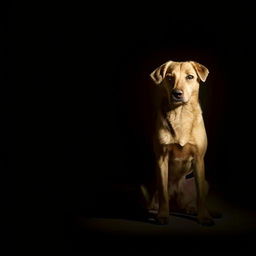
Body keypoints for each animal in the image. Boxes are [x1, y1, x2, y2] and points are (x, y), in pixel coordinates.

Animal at [142, 60, 214, 226]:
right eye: (169, 77)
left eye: (190, 77)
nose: (177, 93)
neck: (181, 113)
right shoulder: (161, 159)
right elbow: (163, 192)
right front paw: (163, 215)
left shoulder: (199, 159)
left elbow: (200, 195)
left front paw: (204, 216)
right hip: (146, 185)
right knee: (155, 200)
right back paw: (154, 210)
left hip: (204, 183)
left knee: (188, 202)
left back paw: (192, 209)